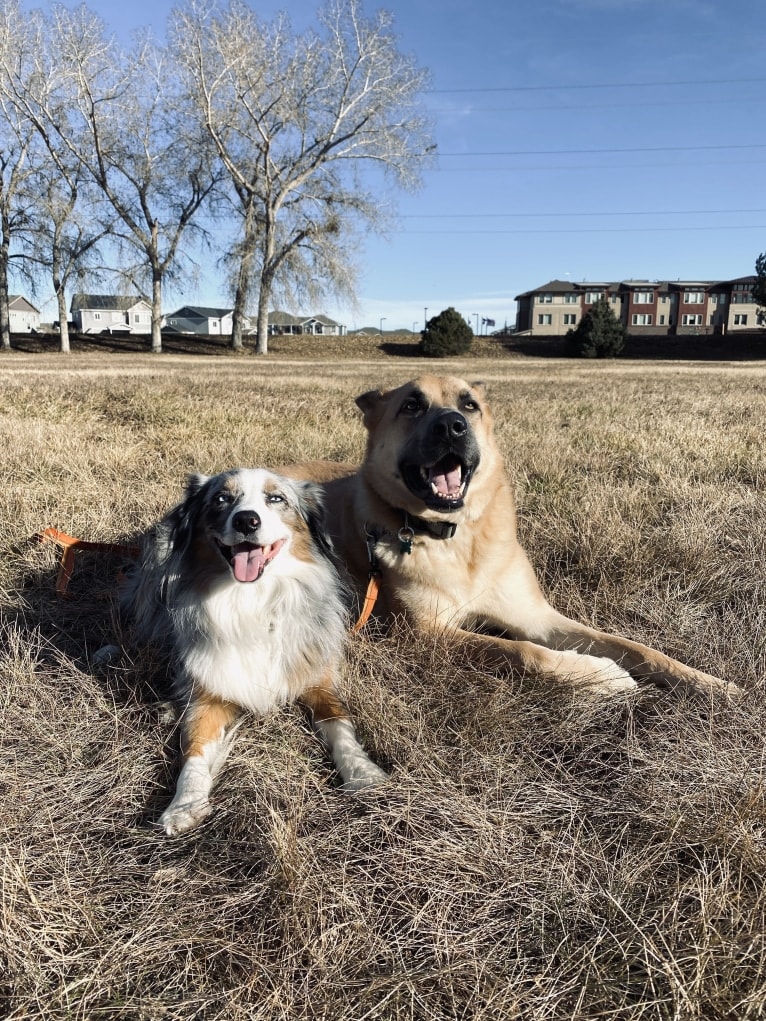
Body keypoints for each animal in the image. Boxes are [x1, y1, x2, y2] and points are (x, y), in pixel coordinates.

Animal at [292, 379, 731, 698]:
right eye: (412, 405)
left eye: (470, 405)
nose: (451, 425)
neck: (458, 539)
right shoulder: (421, 634)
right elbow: (520, 650)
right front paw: (604, 675)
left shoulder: (536, 617)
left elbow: (632, 645)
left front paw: (708, 683)